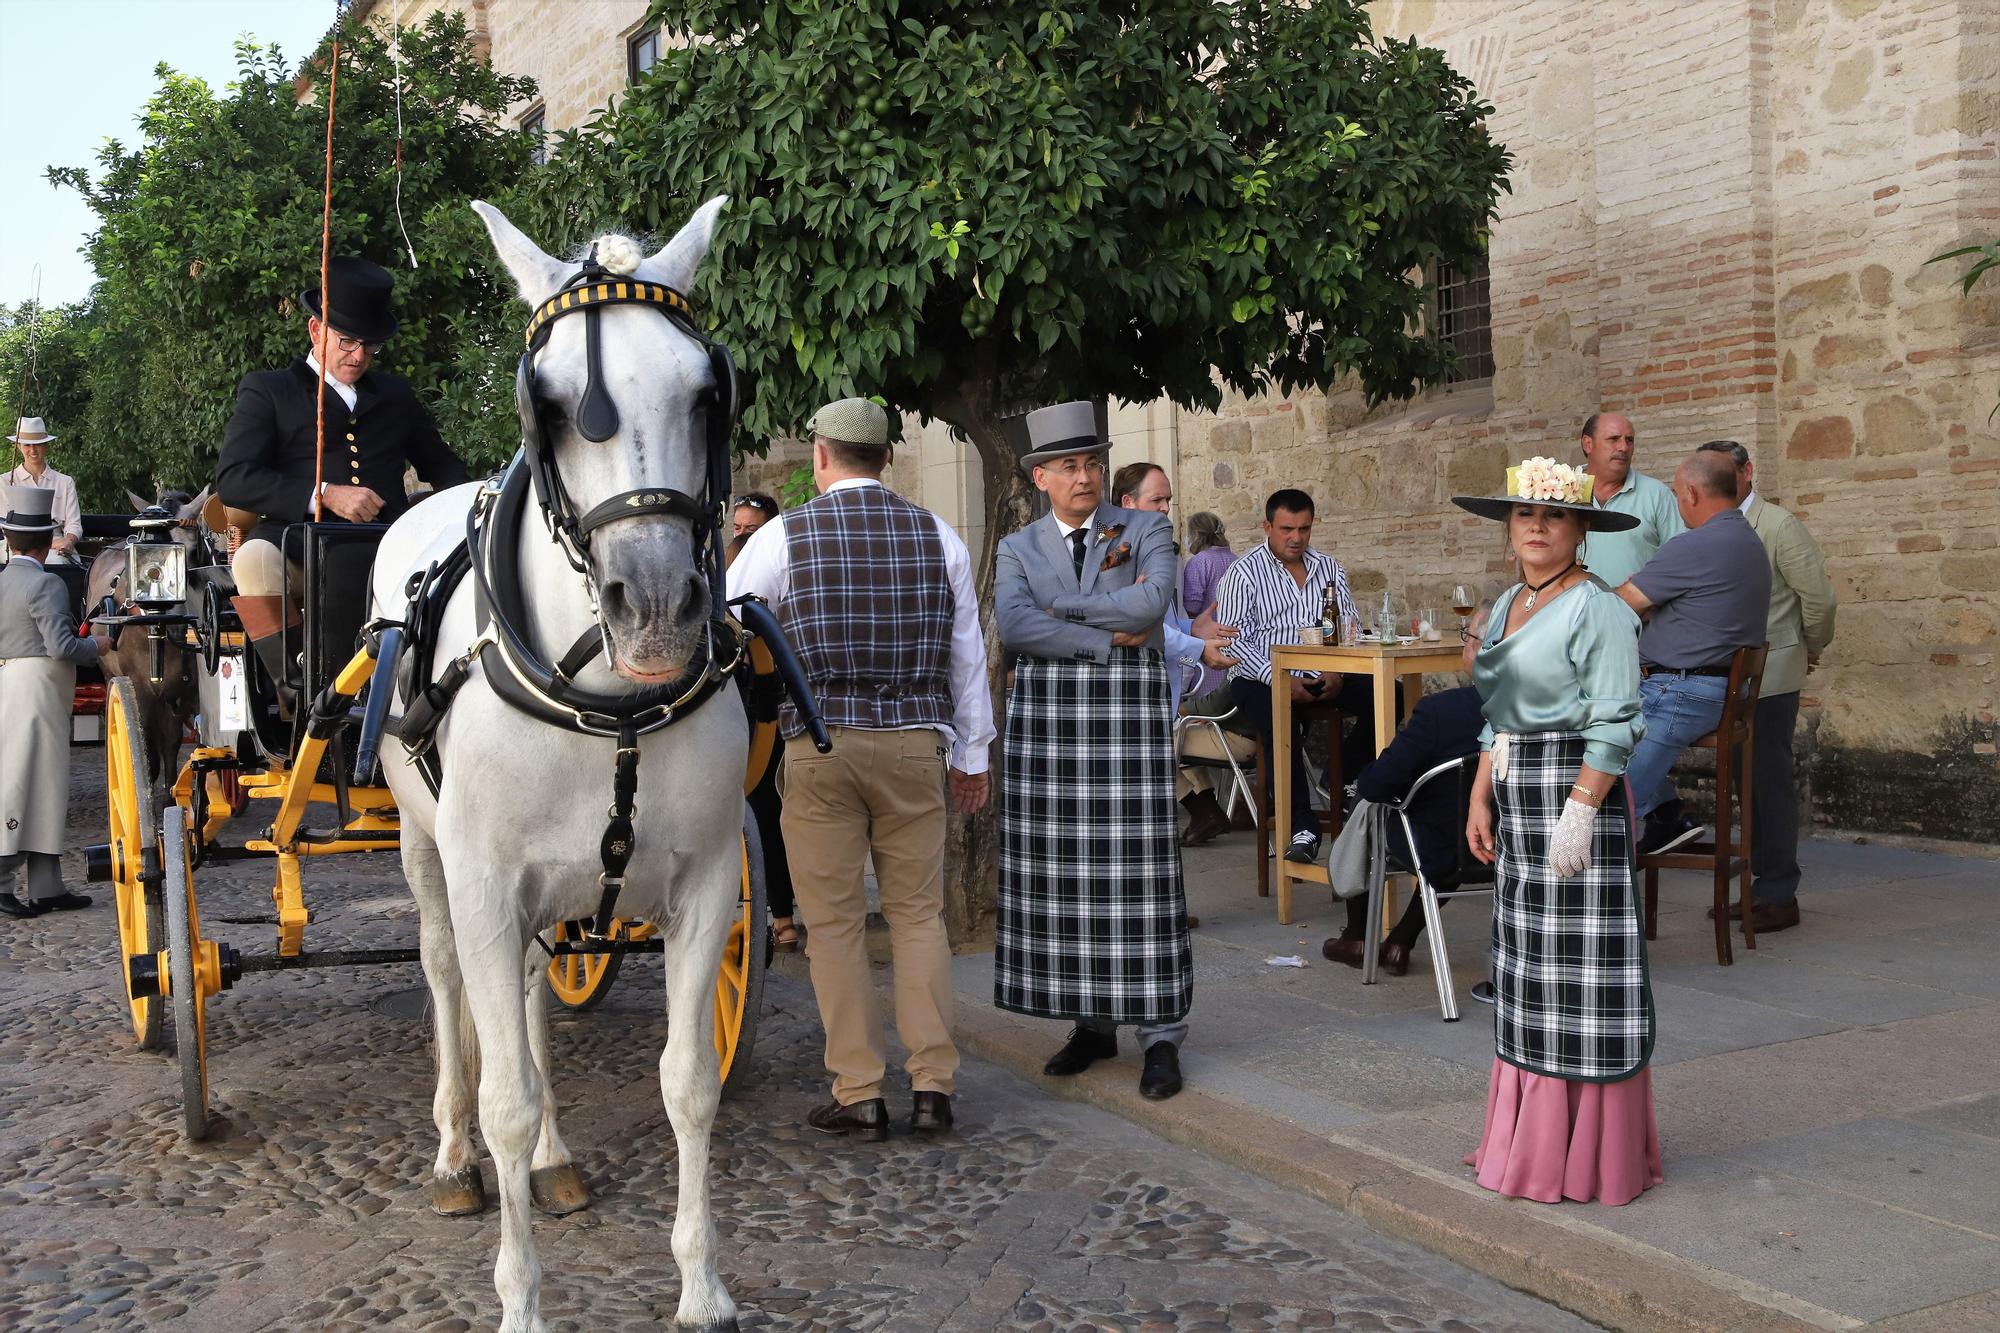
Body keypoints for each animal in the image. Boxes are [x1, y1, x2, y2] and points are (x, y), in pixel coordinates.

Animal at [370, 197, 752, 1328]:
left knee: (535, 997)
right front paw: (522, 1301)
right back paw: (454, 1156)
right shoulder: (484, 883)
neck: (606, 700)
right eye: (546, 403)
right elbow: (503, 1091)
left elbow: (688, 1083)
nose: (658, 606)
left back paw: (551, 1157)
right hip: (427, 852)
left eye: (705, 390)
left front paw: (700, 1285)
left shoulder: (708, 884)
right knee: (447, 980)